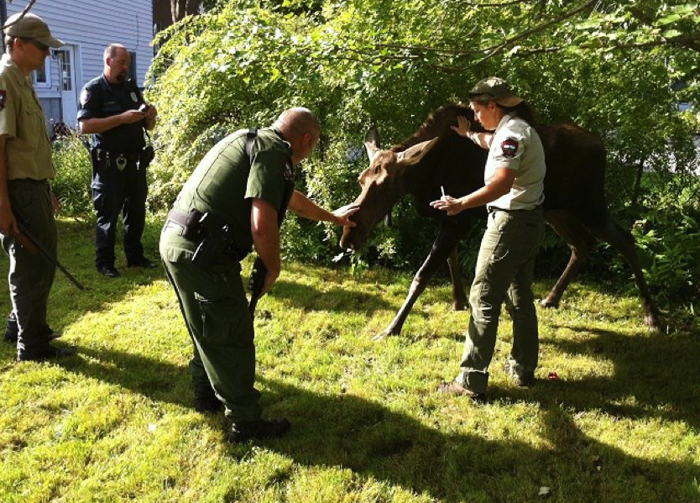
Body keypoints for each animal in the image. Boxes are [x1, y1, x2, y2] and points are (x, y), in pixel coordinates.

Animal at [340, 104, 660, 336]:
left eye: (386, 186)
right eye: (361, 180)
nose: (349, 237)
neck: (425, 173)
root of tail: (603, 147)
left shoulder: (458, 218)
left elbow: (422, 275)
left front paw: (393, 327)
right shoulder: (450, 217)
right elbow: (452, 261)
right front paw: (461, 301)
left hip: (591, 205)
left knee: (625, 239)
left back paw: (653, 316)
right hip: (557, 211)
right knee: (583, 244)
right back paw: (551, 298)